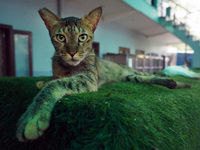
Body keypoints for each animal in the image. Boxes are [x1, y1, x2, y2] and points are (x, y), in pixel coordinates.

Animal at [15, 6, 191, 142]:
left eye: (82, 37)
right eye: (60, 37)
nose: (72, 52)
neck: (68, 68)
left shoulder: (88, 78)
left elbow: (54, 85)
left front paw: (33, 116)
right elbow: (53, 79)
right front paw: (42, 82)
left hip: (132, 72)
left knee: (148, 75)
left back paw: (176, 80)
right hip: (132, 78)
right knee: (145, 78)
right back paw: (174, 83)